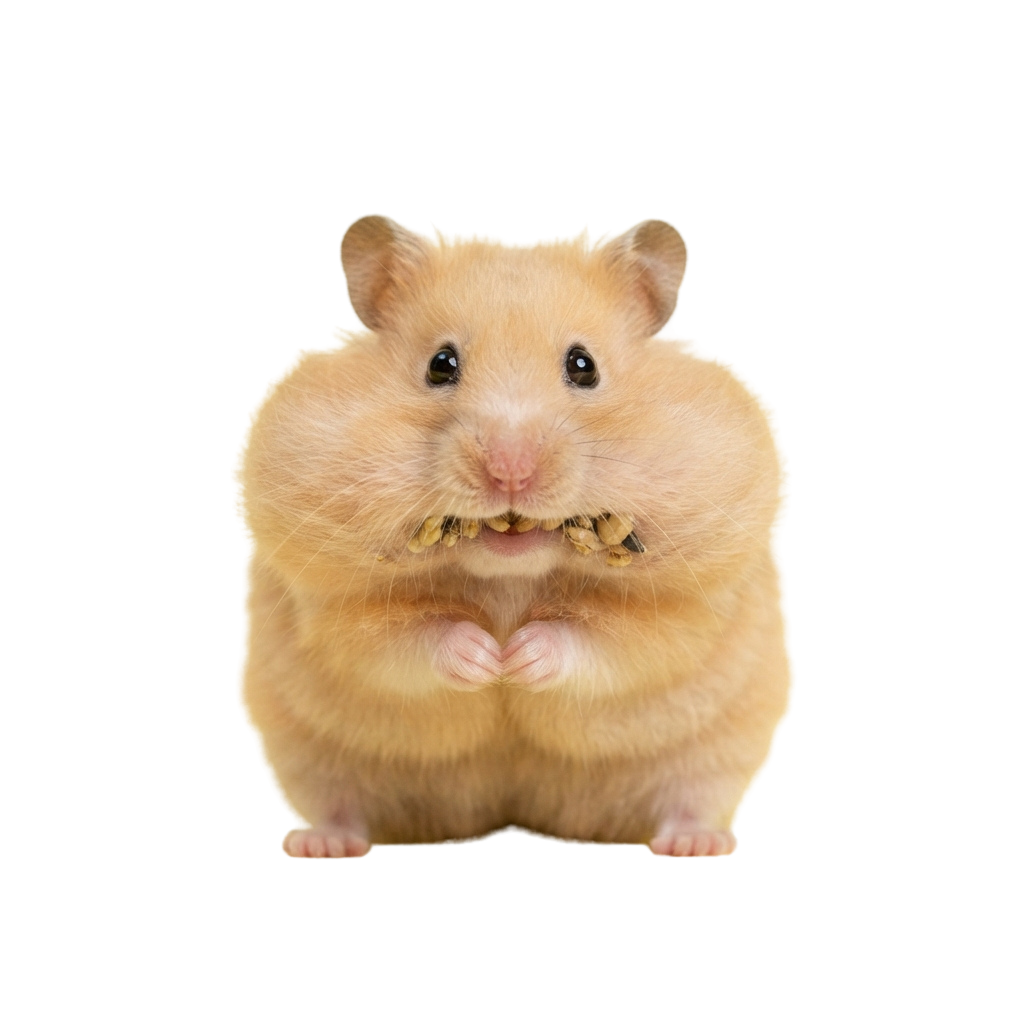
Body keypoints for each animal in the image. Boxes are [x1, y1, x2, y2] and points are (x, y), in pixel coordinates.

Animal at [231, 214, 796, 858]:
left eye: (583, 365)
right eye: (441, 364)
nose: (509, 472)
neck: (510, 576)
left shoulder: (688, 607)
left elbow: (608, 638)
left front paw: (516, 657)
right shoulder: (328, 605)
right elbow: (402, 637)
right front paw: (488, 659)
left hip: (722, 749)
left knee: (694, 797)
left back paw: (695, 843)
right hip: (301, 754)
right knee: (333, 802)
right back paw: (321, 844)